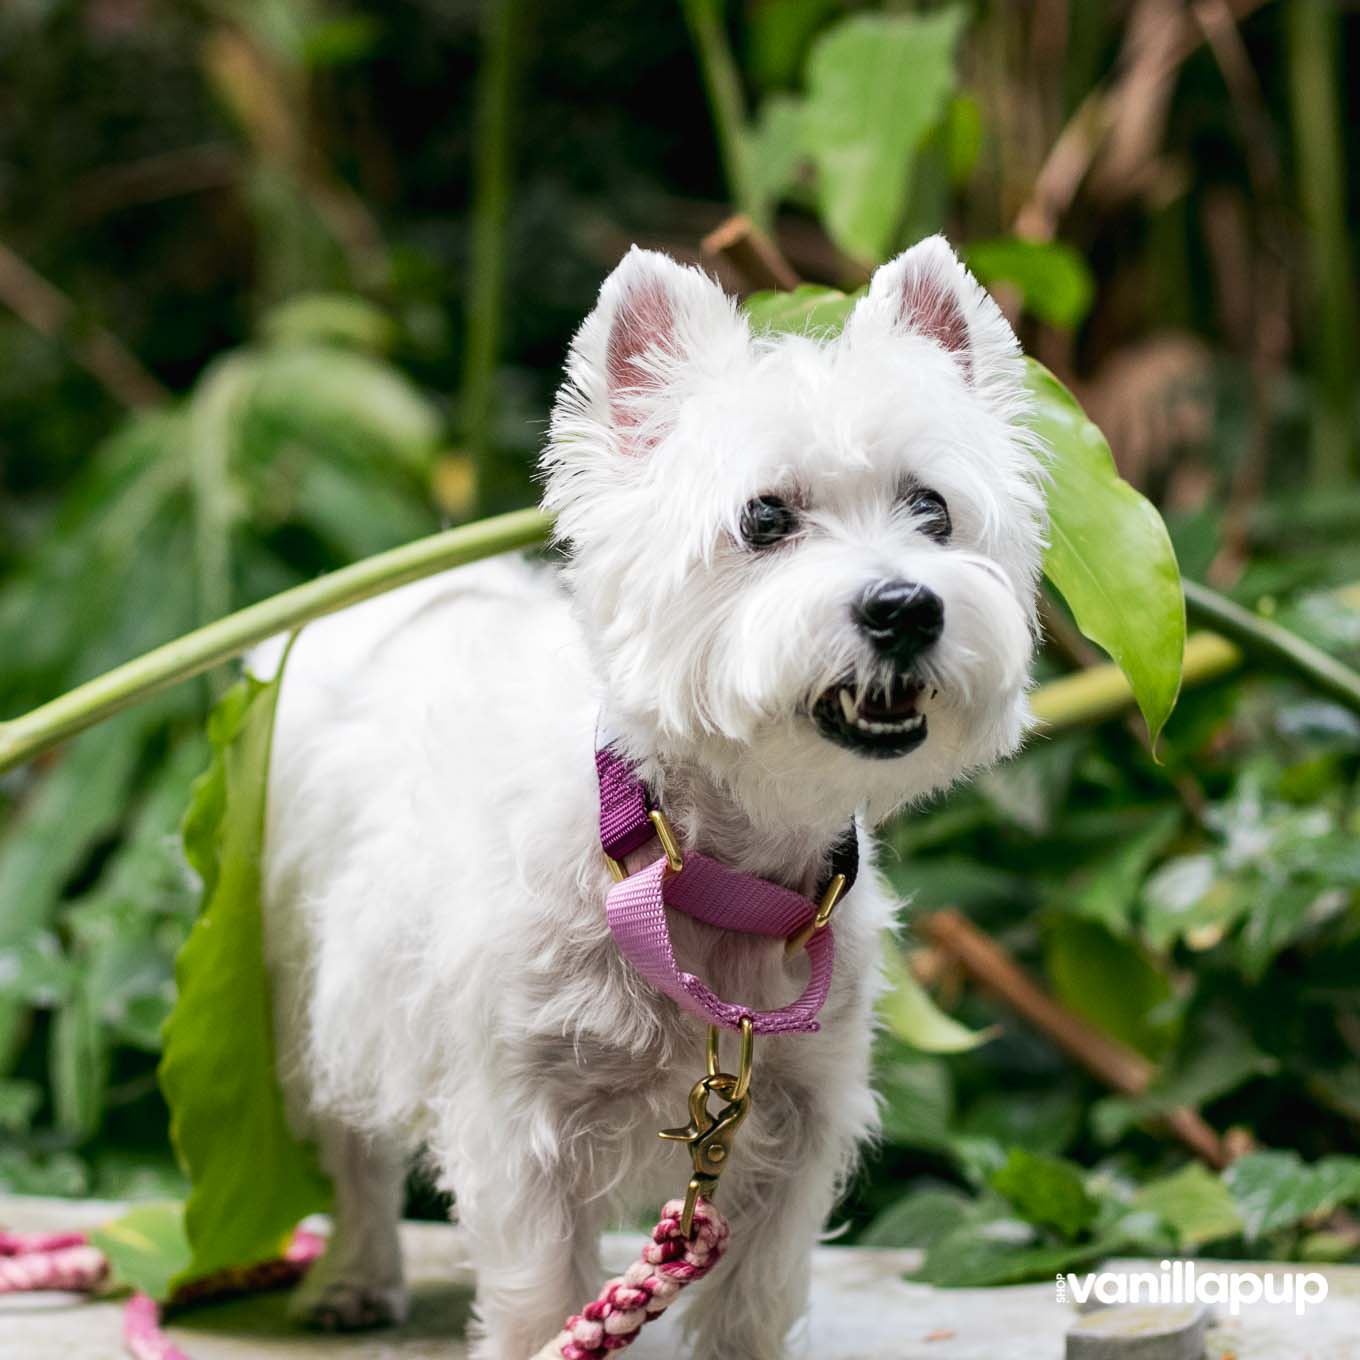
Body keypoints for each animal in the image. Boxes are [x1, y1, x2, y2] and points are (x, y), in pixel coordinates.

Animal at [252, 239, 1039, 1360]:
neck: (706, 874)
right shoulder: (519, 1116)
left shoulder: (798, 1112)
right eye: (764, 517)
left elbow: (752, 1295)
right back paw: (357, 1278)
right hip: (308, 978)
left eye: (932, 509)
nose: (905, 606)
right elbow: (541, 1293)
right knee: (353, 1150)